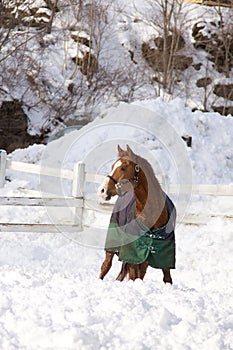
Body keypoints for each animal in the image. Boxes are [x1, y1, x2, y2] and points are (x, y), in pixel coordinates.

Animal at [97, 144, 176, 284]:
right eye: (112, 166)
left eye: (123, 167)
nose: (102, 190)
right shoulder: (134, 256)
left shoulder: (164, 257)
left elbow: (167, 278)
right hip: (112, 246)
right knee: (106, 266)